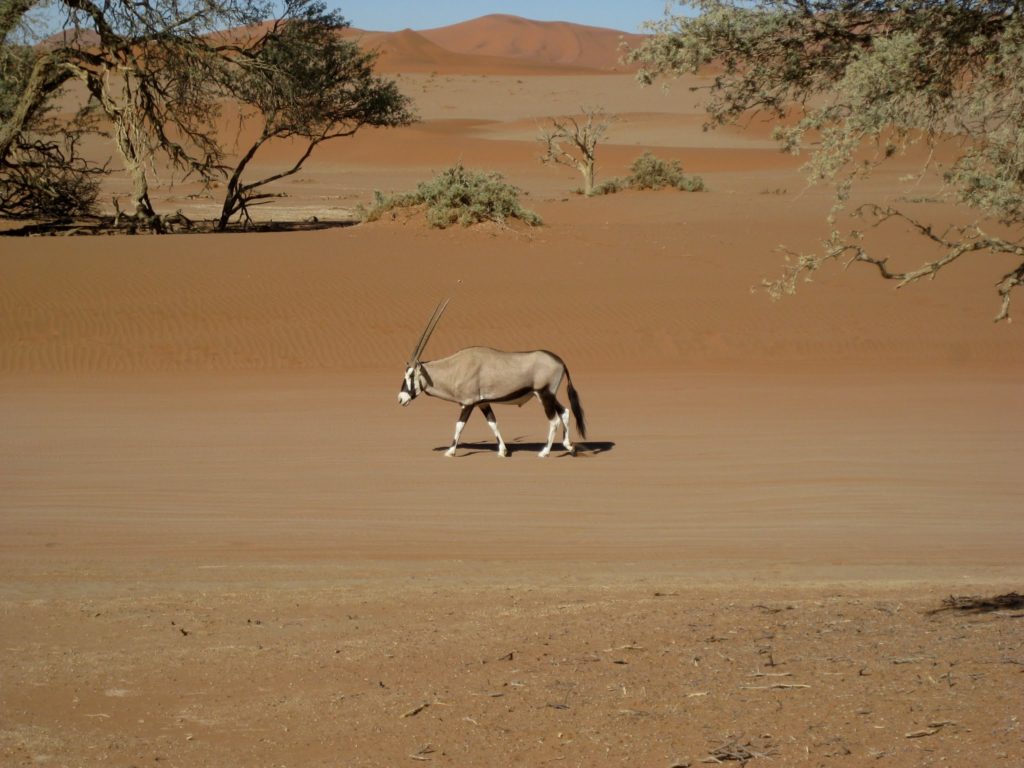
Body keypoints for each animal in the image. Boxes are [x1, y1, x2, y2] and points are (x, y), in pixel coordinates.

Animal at [401, 299, 589, 456]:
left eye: (411, 374)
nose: (401, 399)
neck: (456, 368)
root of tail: (560, 361)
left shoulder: (468, 403)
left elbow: (459, 425)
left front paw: (450, 451)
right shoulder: (483, 403)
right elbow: (493, 423)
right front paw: (503, 451)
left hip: (544, 394)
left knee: (554, 420)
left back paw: (544, 452)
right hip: (549, 395)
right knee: (565, 412)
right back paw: (569, 447)